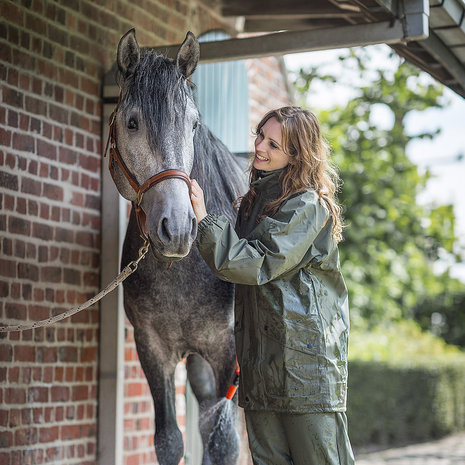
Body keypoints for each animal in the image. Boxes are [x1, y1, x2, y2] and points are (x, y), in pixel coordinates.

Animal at [110, 29, 246, 464]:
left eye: (194, 124)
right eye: (132, 123)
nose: (179, 228)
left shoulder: (229, 353)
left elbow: (224, 443)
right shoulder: (153, 350)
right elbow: (169, 440)